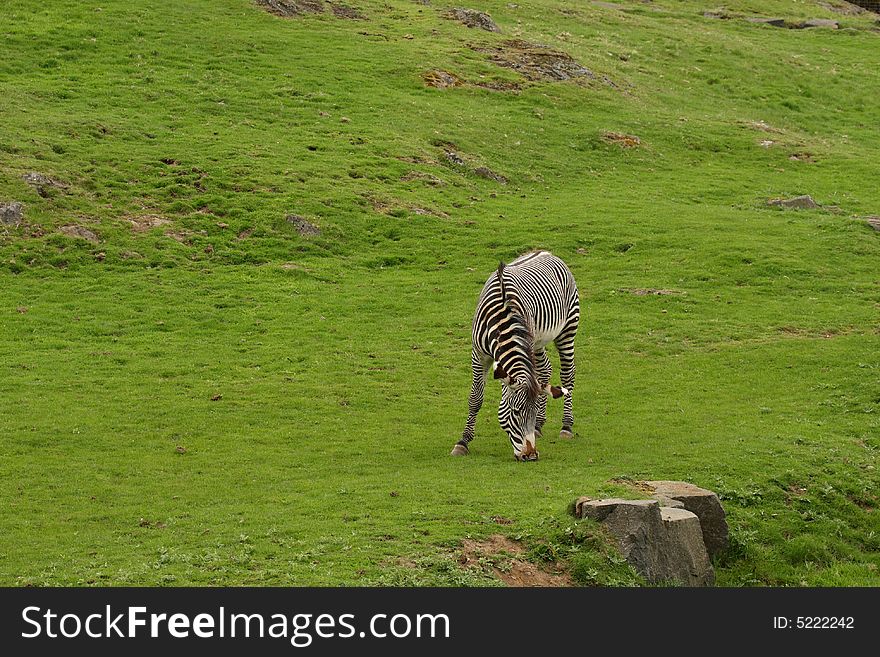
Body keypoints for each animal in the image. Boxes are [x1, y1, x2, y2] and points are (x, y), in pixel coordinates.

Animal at [454, 251, 576, 462]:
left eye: (531, 413)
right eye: (516, 412)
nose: (531, 456)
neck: (501, 319)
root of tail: (546, 252)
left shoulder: (524, 347)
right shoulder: (479, 354)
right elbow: (476, 398)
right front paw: (463, 442)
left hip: (567, 329)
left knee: (568, 374)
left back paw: (566, 426)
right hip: (539, 341)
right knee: (546, 370)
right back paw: (540, 426)